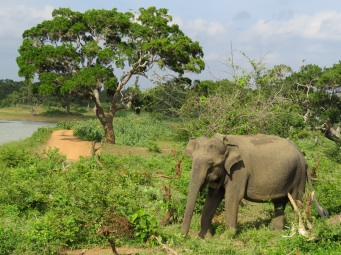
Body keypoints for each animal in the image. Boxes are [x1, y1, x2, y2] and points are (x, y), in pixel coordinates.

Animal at [181, 132, 326, 238]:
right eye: (192, 160)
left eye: (211, 164)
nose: (183, 236)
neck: (226, 142)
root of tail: (303, 157)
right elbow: (213, 198)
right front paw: (206, 238)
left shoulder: (239, 171)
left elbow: (232, 198)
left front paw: (225, 238)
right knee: (279, 203)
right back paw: (276, 233)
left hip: (299, 175)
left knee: (296, 201)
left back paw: (297, 232)